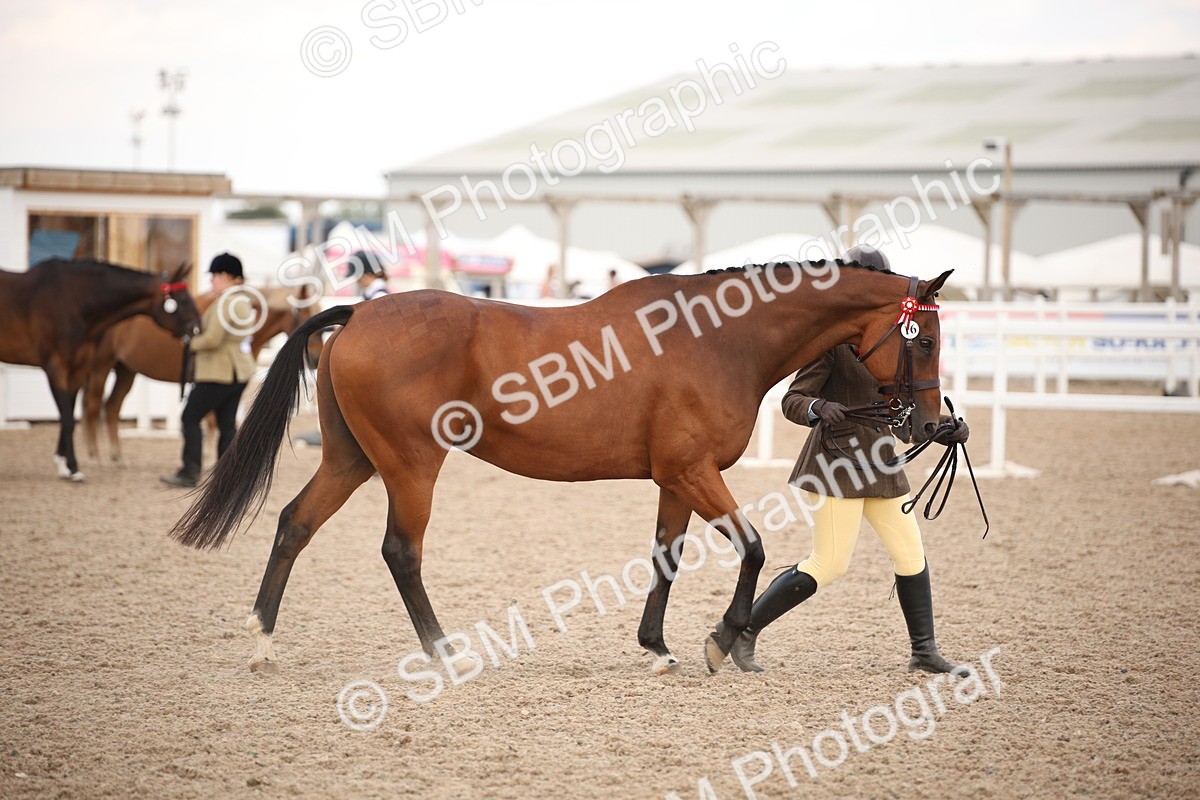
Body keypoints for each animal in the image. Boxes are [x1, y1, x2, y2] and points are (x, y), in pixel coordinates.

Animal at [0, 259, 201, 481]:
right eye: (183, 299)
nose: (198, 328)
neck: (72, 301)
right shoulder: (55, 366)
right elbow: (68, 418)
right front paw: (73, 468)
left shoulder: (77, 369)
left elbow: (68, 413)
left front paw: (63, 465)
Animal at [81, 285, 320, 464]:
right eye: (305, 317)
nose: (317, 359)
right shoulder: (211, 384)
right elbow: (212, 421)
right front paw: (207, 458)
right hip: (101, 366)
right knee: (93, 405)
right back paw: (93, 456)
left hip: (126, 370)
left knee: (112, 407)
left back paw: (117, 456)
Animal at [169, 259, 953, 675]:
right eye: (925, 338)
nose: (929, 423)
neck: (720, 339)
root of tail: (360, 313)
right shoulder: (695, 472)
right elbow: (755, 549)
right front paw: (723, 639)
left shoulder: (676, 478)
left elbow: (666, 557)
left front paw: (657, 646)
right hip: (411, 464)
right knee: (400, 551)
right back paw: (443, 650)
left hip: (350, 459)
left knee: (294, 524)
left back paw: (263, 639)